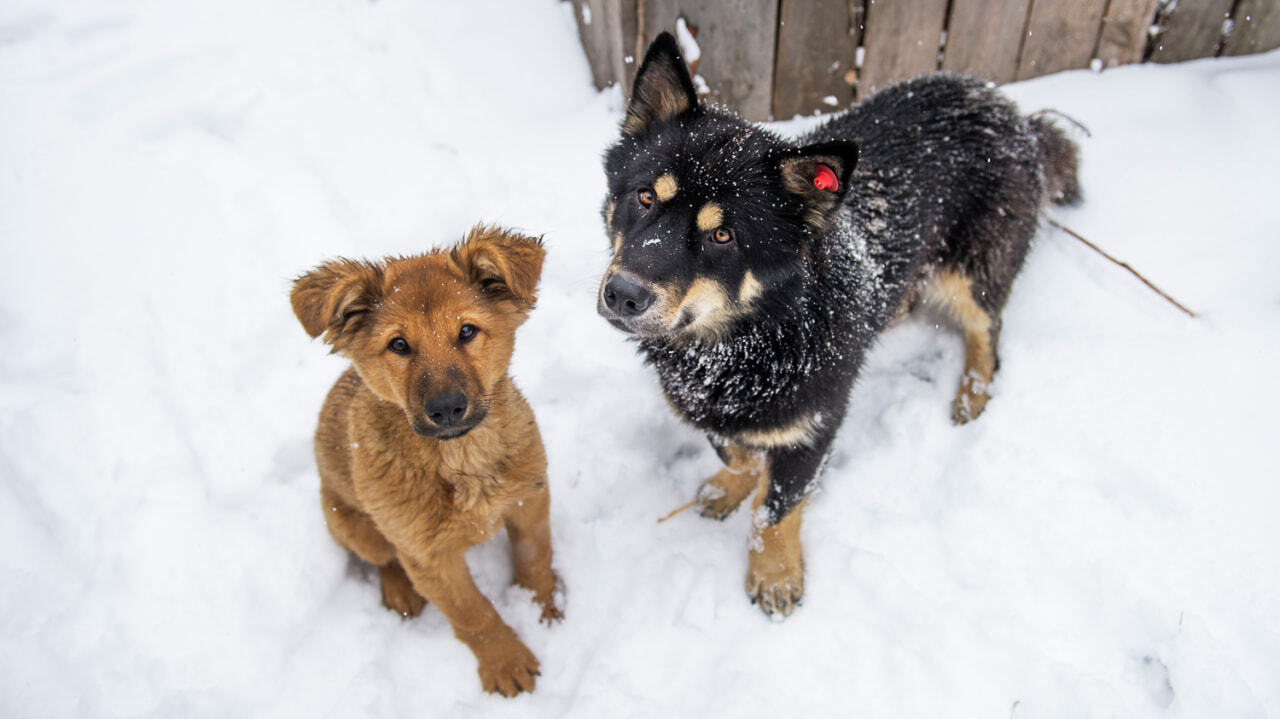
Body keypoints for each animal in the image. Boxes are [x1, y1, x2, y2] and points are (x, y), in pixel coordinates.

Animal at [295, 222, 565, 695]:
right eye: (399, 344)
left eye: (467, 331)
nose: (447, 409)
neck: (461, 460)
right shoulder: (428, 557)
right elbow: (473, 613)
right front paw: (506, 662)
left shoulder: (529, 498)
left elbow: (535, 558)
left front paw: (543, 608)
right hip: (350, 523)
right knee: (383, 559)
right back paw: (400, 593)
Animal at [599, 32, 1080, 616]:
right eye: (644, 196)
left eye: (723, 236)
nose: (622, 295)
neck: (754, 336)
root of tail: (1011, 111)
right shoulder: (713, 408)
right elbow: (736, 450)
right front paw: (731, 485)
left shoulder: (816, 422)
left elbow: (778, 507)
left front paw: (775, 572)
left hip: (973, 273)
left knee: (987, 331)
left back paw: (973, 392)